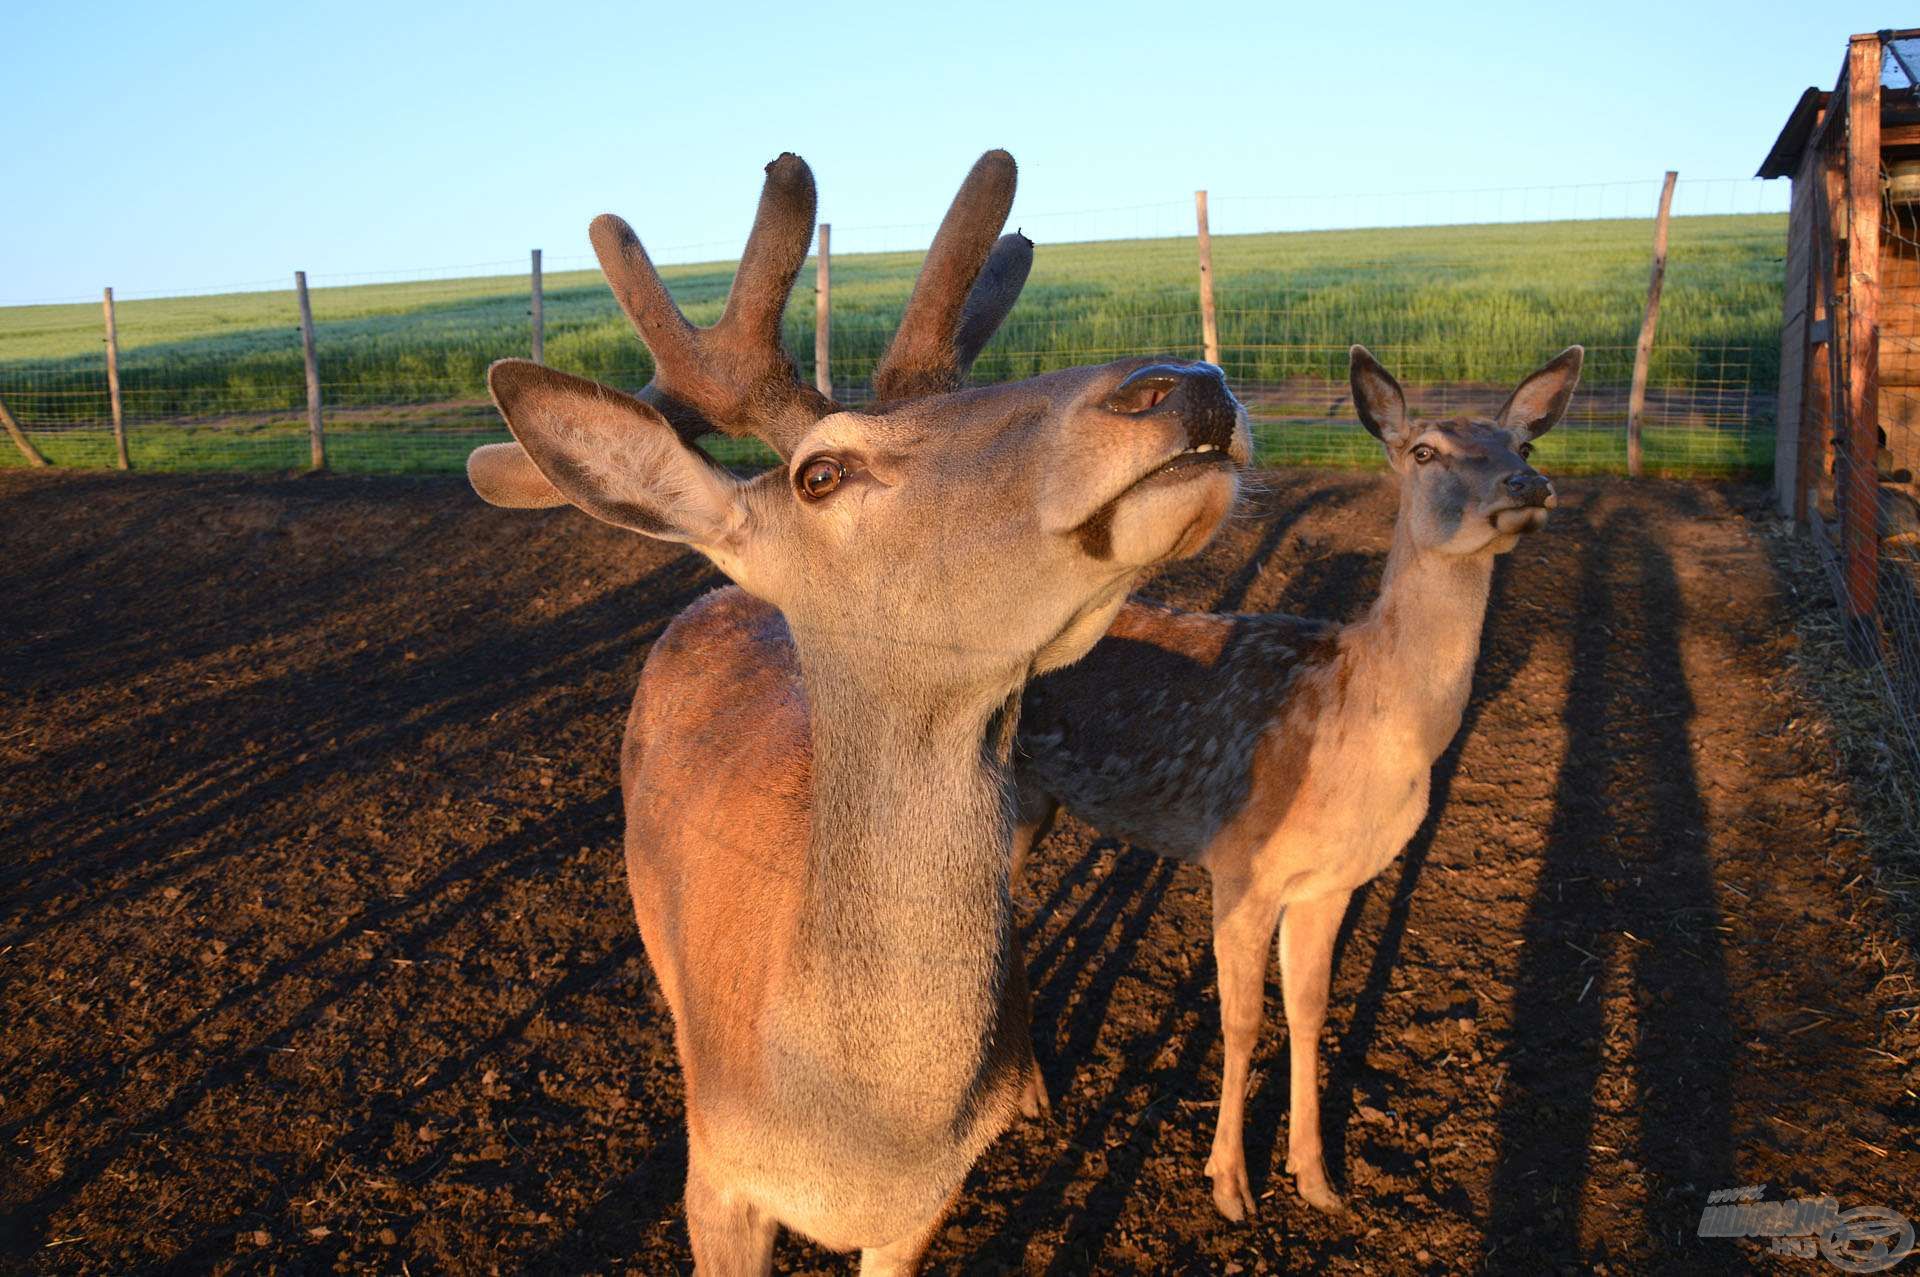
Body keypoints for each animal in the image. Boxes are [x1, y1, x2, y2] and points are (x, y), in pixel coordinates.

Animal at [460, 151, 1244, 1275]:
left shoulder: (921, 1208)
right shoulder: (718, 1178)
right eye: (820, 473)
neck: (861, 1129)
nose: (1186, 385)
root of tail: (718, 594)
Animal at [1013, 343, 1582, 1221]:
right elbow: (1242, 1020)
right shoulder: (1240, 861)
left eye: (1524, 444)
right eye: (1425, 452)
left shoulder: (1332, 879)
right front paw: (1229, 1184)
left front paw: (1318, 1177)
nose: (1528, 487)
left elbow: (1309, 1010)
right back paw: (1027, 1094)